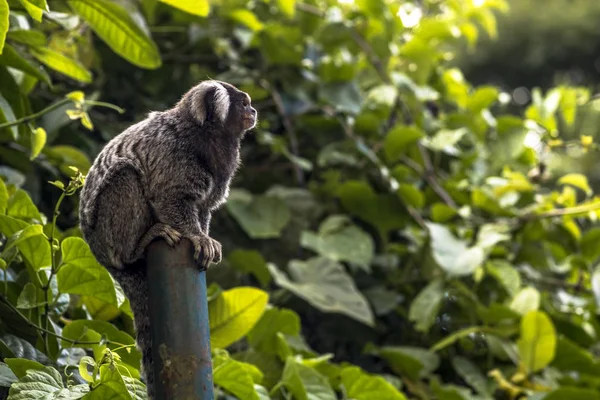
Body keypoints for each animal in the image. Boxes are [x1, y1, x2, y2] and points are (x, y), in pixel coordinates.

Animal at [78, 80, 256, 396]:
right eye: (245, 104)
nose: (254, 111)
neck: (206, 137)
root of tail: (100, 256)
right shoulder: (173, 156)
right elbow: (170, 198)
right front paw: (197, 237)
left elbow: (202, 209)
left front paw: (204, 237)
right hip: (106, 234)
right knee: (125, 175)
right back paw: (139, 245)